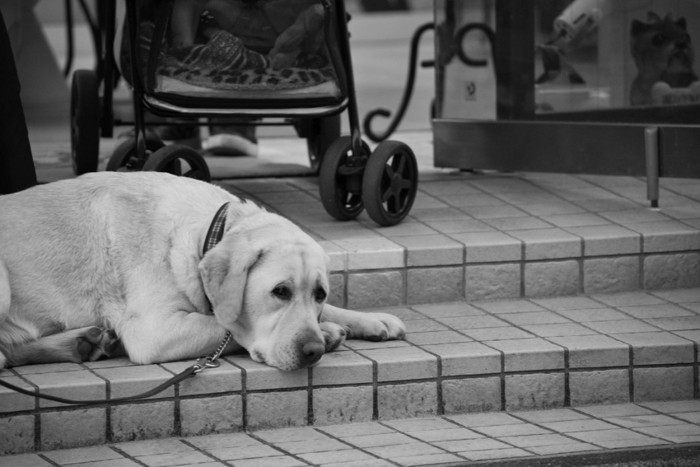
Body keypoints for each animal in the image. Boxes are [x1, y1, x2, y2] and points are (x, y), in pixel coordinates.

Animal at [0, 173, 404, 372]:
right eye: (280, 292)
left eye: (319, 293)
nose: (313, 350)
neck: (207, 232)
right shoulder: (154, 331)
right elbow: (224, 326)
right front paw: (329, 331)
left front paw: (370, 319)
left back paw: (82, 342)